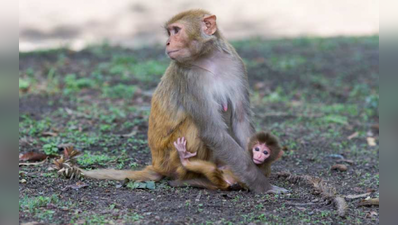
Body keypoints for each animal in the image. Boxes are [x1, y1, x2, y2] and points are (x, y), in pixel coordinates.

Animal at [81, 9, 286, 193]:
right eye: (170, 32)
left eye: (176, 30)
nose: (167, 42)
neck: (209, 59)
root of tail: (156, 164)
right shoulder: (188, 78)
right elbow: (211, 131)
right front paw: (263, 185)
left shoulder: (236, 65)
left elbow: (241, 121)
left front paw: (260, 167)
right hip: (170, 157)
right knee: (196, 127)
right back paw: (190, 177)